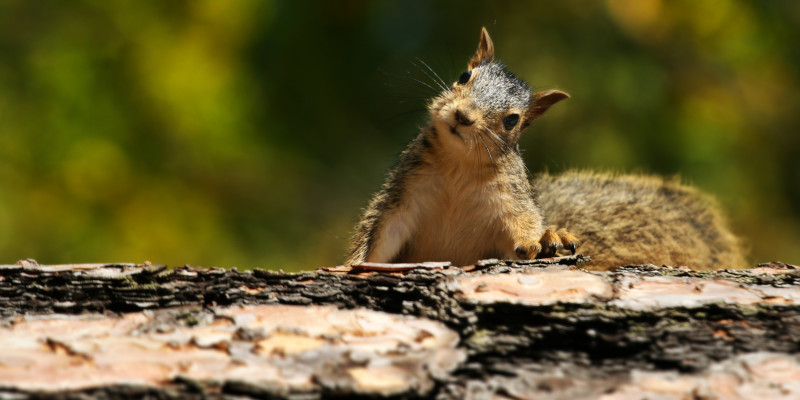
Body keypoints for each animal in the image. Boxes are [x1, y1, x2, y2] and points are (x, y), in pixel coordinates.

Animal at [346, 27, 748, 272]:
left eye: (512, 120)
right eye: (464, 76)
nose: (463, 116)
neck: (459, 167)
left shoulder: (510, 207)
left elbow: (521, 233)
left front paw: (540, 240)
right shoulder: (406, 196)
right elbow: (378, 238)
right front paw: (352, 264)